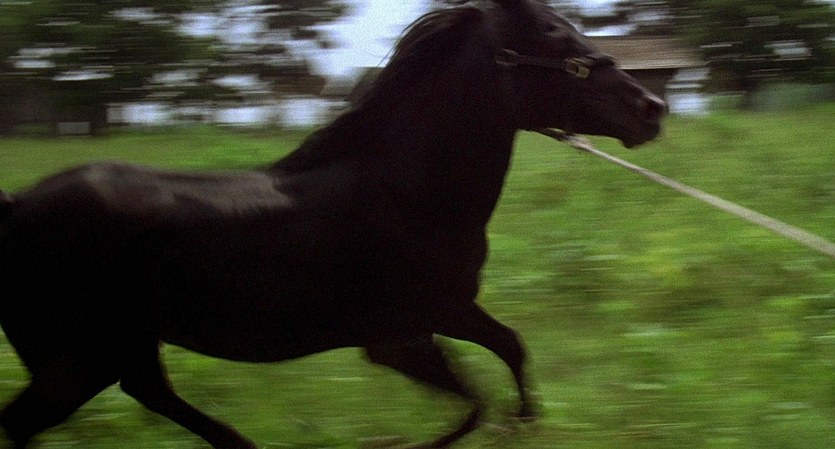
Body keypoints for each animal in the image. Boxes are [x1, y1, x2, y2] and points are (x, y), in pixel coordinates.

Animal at [0, 0, 665, 447]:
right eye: (553, 38)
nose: (652, 108)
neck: (405, 192)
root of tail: (15, 205)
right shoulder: (400, 340)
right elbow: (474, 402)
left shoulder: (450, 311)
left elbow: (511, 350)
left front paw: (524, 423)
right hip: (81, 357)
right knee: (33, 420)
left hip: (116, 348)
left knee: (153, 399)